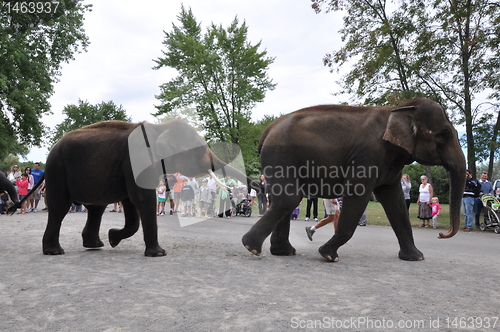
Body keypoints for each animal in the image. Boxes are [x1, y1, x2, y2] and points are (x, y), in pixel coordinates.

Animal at [36, 119, 254, 256]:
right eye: (198, 150)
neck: (159, 128)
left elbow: (132, 204)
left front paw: (113, 238)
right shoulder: (136, 162)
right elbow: (142, 198)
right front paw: (158, 254)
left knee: (96, 209)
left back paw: (95, 245)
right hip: (57, 170)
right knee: (60, 208)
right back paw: (55, 251)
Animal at [241, 97, 464, 260]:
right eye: (443, 134)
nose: (441, 234)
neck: (398, 108)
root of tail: (267, 130)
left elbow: (396, 203)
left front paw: (415, 257)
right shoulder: (369, 155)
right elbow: (358, 195)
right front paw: (328, 255)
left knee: (284, 199)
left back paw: (283, 252)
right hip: (280, 155)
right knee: (289, 198)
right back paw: (252, 247)